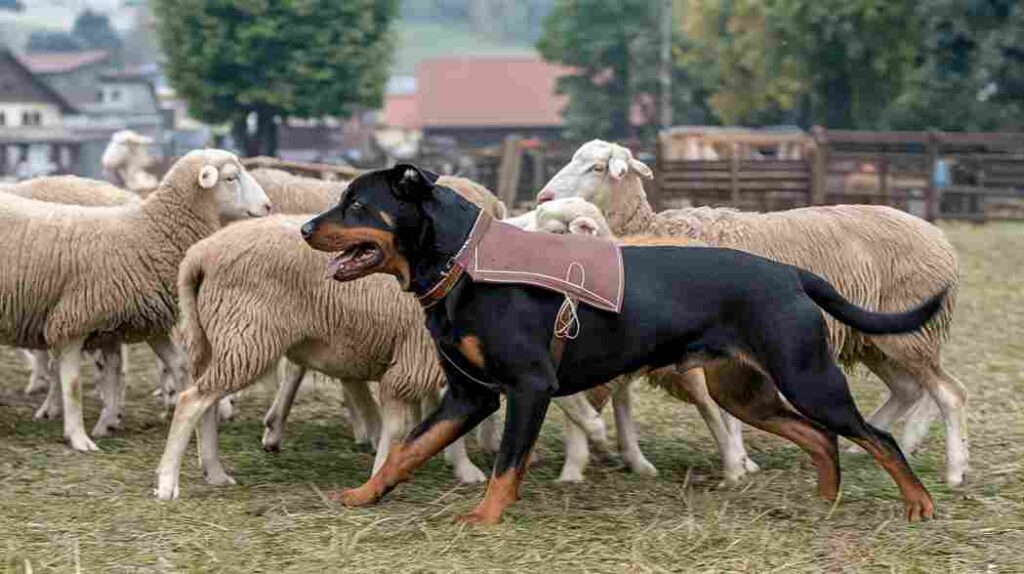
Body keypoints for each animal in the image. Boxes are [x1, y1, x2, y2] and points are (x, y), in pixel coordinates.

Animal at [0, 148, 272, 452]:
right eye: (230, 178)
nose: (268, 206)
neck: (148, 232)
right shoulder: (74, 320)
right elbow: (74, 384)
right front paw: (80, 437)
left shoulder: (132, 321)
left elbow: (174, 366)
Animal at [299, 164, 946, 523]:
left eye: (357, 204)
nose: (305, 227)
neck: (467, 263)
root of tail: (789, 273)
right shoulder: (468, 396)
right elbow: (406, 451)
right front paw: (364, 495)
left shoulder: (528, 389)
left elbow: (507, 464)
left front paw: (484, 518)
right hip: (743, 392)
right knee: (820, 437)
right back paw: (825, 499)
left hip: (808, 378)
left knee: (876, 436)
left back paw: (918, 504)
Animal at [536, 139, 966, 482]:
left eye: (596, 167)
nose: (543, 198)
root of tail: (941, 239)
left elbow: (718, 409)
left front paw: (738, 462)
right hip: (874, 339)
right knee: (910, 390)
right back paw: (873, 443)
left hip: (906, 335)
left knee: (949, 393)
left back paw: (954, 469)